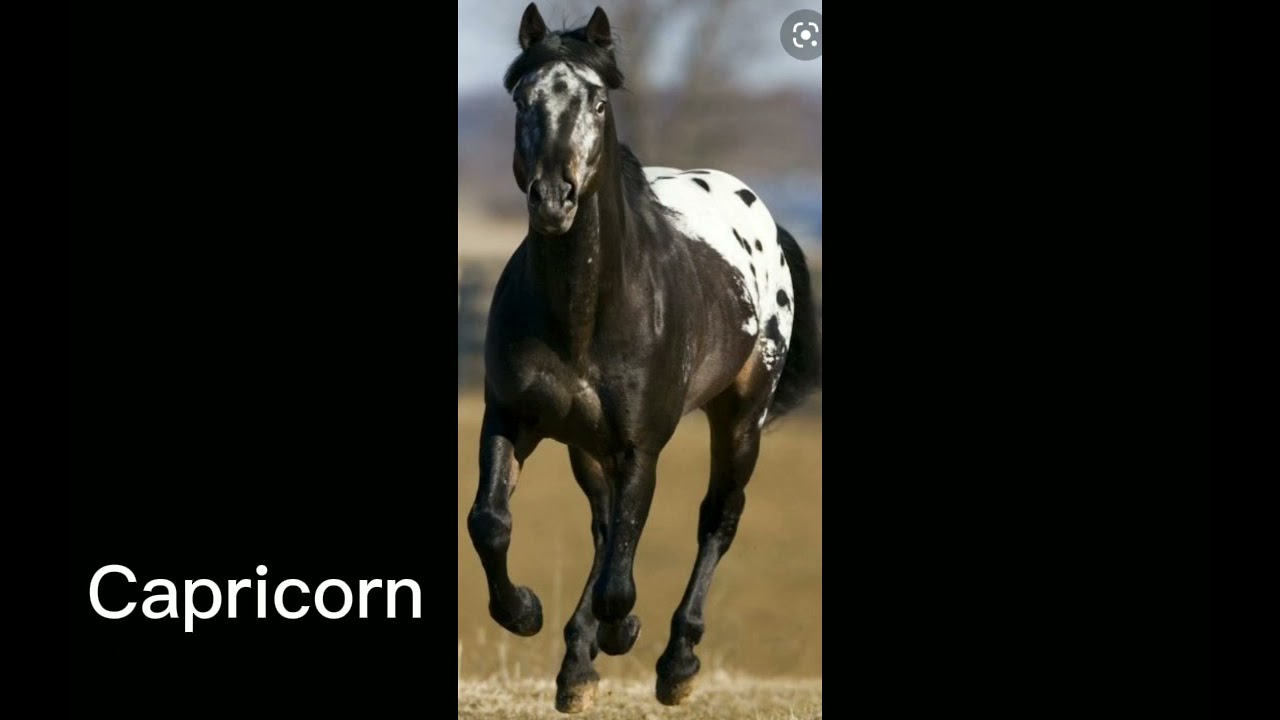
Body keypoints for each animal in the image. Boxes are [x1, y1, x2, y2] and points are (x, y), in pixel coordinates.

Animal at [466, 4, 822, 713]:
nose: (554, 199)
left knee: (717, 519)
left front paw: (621, 632)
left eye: (598, 102)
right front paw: (528, 613)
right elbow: (491, 522)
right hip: (585, 445)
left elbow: (620, 578)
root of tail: (765, 217)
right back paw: (579, 667)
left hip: (741, 416)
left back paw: (676, 662)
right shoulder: (511, 417)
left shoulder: (641, 447)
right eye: (522, 99)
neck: (584, 312)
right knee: (606, 529)